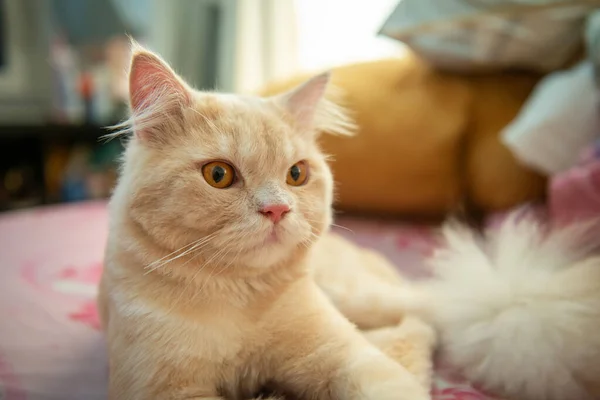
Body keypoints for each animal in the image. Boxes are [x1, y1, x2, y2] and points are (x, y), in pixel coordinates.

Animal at [97, 43, 432, 400]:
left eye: (297, 174)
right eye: (218, 174)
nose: (277, 209)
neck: (240, 299)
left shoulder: (344, 354)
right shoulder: (163, 388)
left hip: (363, 296)